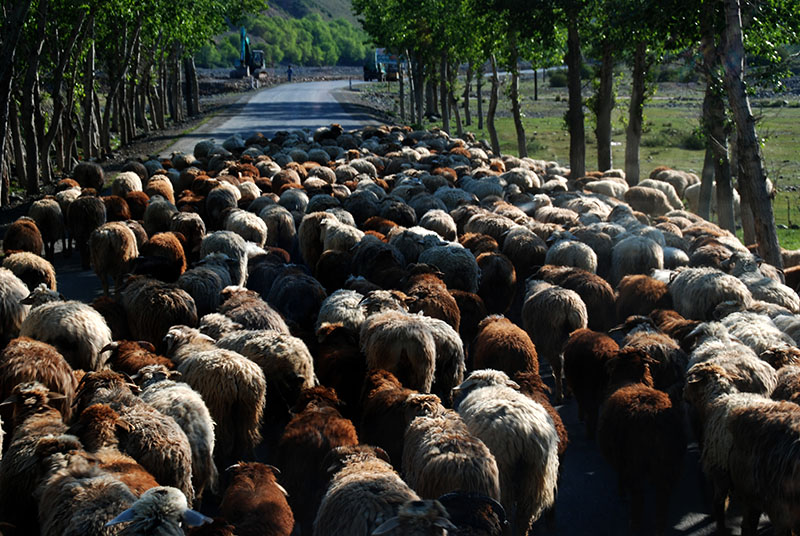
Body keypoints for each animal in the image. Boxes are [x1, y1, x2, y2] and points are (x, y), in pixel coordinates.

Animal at [164, 324, 268, 466]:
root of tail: (238, 374)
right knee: (246, 437)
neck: (190, 343)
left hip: (219, 410)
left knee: (225, 439)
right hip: (249, 410)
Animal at [454, 368, 560, 536]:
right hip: (536, 476)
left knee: (507, 513)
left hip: (504, 473)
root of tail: (525, 431)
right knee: (524, 516)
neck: (492, 386)